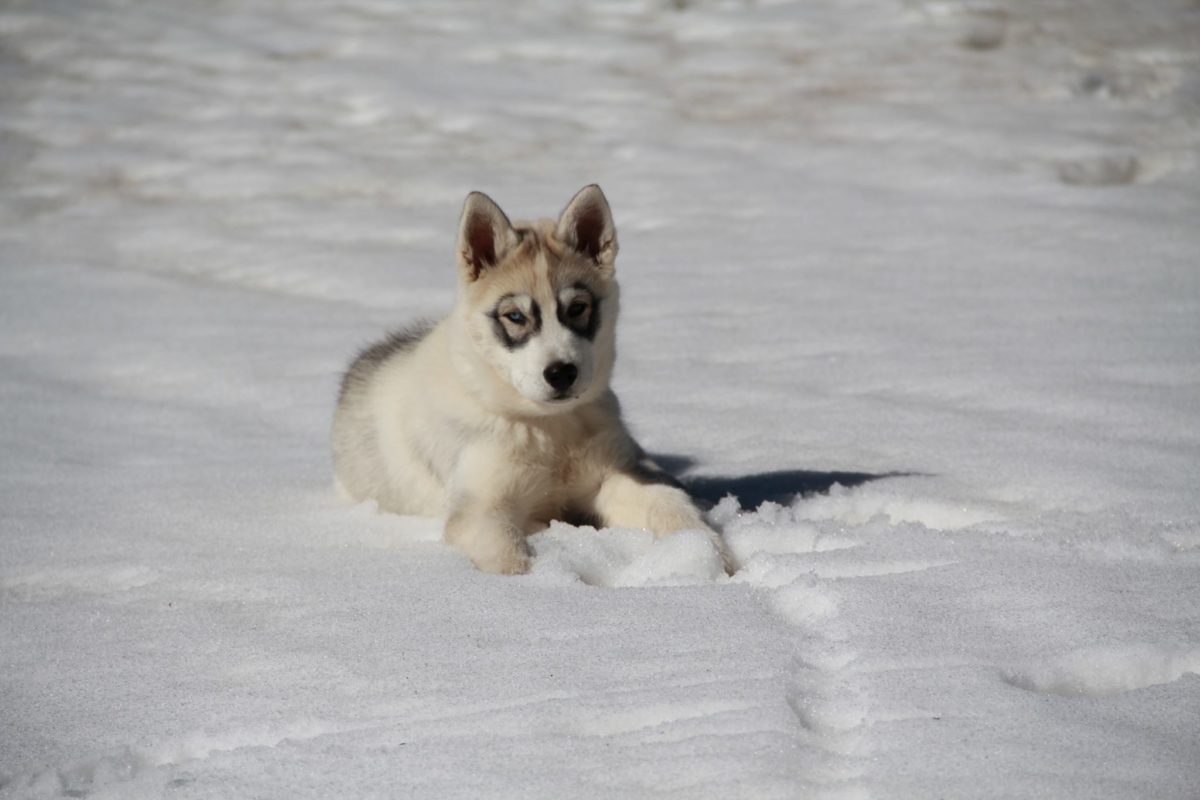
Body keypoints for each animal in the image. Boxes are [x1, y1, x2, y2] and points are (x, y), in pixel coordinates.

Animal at [331, 188, 729, 575]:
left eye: (577, 308)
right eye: (516, 316)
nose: (561, 373)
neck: (548, 427)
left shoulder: (617, 472)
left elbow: (668, 502)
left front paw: (704, 553)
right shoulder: (480, 507)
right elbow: (509, 556)